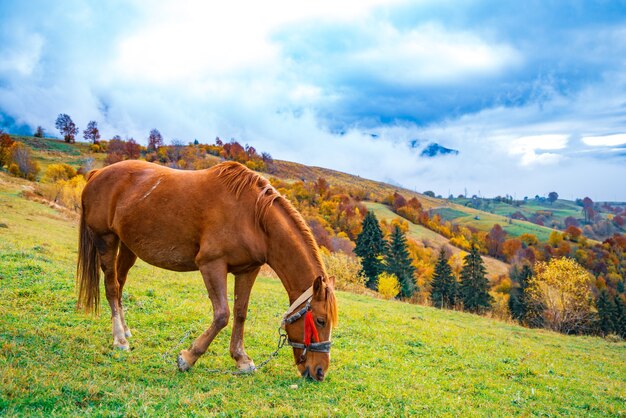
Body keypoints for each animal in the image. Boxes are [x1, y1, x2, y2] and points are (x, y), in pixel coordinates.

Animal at [77, 159, 336, 378]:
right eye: (321, 321)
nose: (320, 372)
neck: (253, 218)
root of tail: (98, 173)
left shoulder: (247, 270)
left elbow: (240, 313)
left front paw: (241, 359)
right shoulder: (212, 265)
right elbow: (222, 315)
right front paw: (188, 357)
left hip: (128, 246)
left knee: (120, 285)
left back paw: (125, 329)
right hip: (106, 240)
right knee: (112, 287)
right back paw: (120, 340)